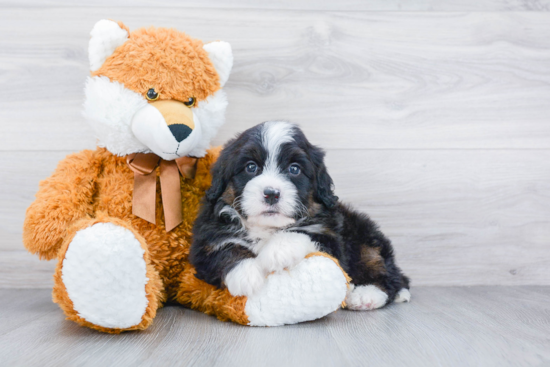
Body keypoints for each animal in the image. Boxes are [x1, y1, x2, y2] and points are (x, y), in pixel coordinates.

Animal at [190, 123, 410, 310]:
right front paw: (246, 274)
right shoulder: (205, 241)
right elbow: (224, 249)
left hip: (366, 242)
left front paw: (278, 251)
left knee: (388, 274)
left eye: (294, 169)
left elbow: (303, 233)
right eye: (251, 167)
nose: (271, 193)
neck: (267, 228)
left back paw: (367, 295)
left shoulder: (331, 237)